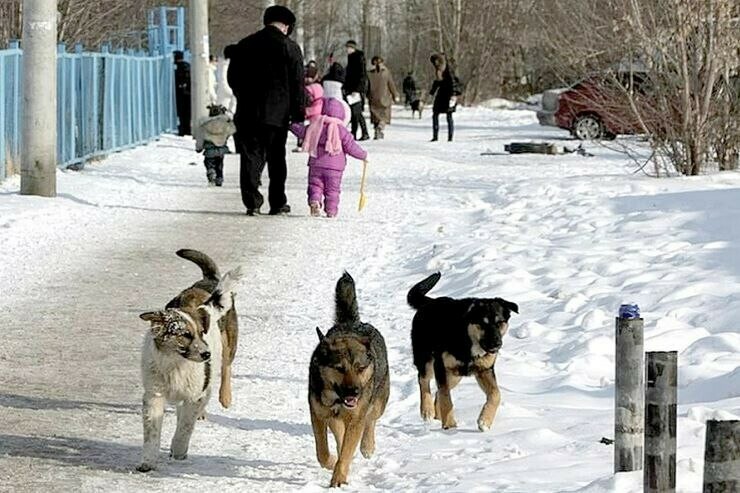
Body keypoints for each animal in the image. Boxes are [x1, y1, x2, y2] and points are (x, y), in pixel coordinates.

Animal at [137, 248, 241, 470]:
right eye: (184, 334)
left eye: (202, 333)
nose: (206, 354)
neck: (175, 364)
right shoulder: (154, 395)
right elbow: (152, 431)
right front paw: (148, 461)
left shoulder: (195, 395)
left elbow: (185, 425)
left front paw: (178, 450)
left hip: (229, 343)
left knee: (226, 368)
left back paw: (225, 397)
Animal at [306, 272, 390, 488]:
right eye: (339, 368)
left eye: (360, 368)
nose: (354, 392)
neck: (337, 398)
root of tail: (351, 323)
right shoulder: (319, 415)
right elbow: (322, 452)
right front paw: (331, 462)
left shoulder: (355, 418)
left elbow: (347, 450)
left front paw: (338, 478)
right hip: (335, 418)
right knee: (339, 434)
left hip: (378, 402)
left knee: (370, 420)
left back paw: (367, 446)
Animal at [408, 272, 516, 430]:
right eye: (482, 323)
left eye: (500, 322)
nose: (497, 344)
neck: (468, 339)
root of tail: (429, 303)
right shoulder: (440, 365)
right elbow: (445, 395)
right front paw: (450, 424)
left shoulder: (485, 370)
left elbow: (496, 393)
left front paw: (485, 421)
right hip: (427, 359)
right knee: (424, 380)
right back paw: (427, 410)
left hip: (454, 375)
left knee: (437, 392)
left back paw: (437, 415)